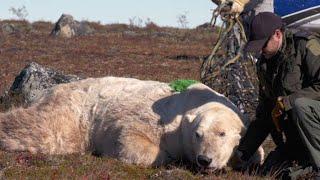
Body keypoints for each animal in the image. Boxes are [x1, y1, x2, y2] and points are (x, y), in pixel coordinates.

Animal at [0, 76, 264, 169]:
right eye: (198, 134)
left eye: (222, 134)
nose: (204, 159)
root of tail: (48, 90)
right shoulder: (161, 121)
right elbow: (130, 135)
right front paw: (167, 157)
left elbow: (255, 151)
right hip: (73, 112)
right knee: (45, 131)